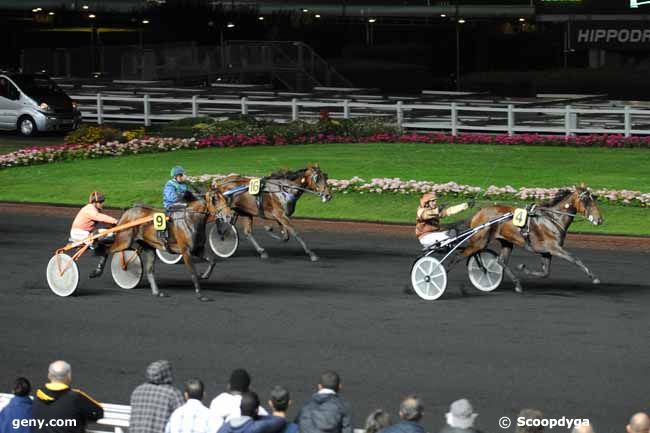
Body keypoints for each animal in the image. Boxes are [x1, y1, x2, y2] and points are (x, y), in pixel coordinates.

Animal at [460, 186, 604, 294]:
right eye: (586, 200)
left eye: (594, 198)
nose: (600, 220)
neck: (552, 219)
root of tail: (479, 212)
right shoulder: (554, 248)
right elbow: (575, 259)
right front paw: (594, 277)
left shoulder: (546, 252)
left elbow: (545, 273)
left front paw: (522, 268)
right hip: (481, 240)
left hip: (507, 242)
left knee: (500, 261)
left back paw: (517, 285)